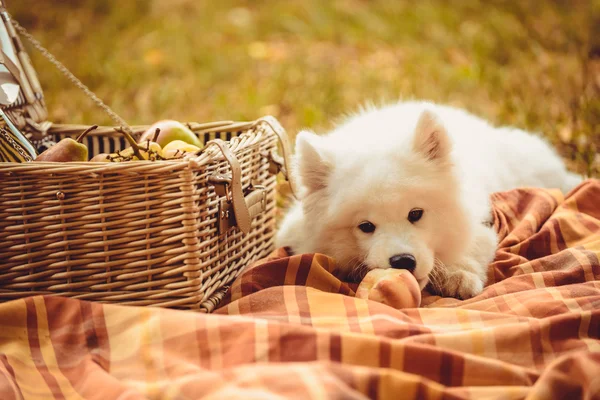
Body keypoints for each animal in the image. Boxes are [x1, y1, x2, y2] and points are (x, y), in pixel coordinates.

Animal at [276, 101, 580, 298]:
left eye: (415, 214)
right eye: (365, 226)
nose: (402, 261)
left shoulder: (480, 218)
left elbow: (473, 245)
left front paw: (459, 275)